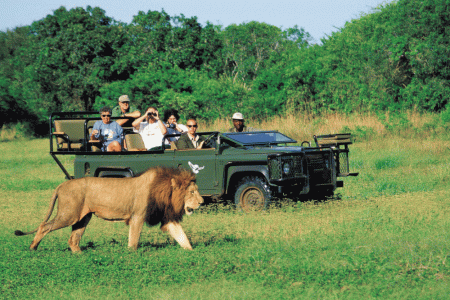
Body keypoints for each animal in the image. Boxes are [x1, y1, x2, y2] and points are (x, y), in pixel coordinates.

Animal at [14, 166, 204, 251]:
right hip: (69, 214)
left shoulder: (167, 218)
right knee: (44, 226)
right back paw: (33, 248)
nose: (202, 202)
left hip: (83, 218)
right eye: (192, 192)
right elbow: (134, 240)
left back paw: (81, 255)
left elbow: (182, 236)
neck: (163, 191)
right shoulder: (137, 216)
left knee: (73, 239)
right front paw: (131, 254)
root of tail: (61, 185)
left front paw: (192, 252)